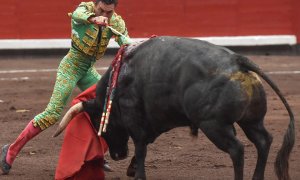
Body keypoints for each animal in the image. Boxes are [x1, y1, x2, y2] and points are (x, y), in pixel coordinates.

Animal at [54, 36, 296, 180]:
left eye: (99, 123)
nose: (117, 155)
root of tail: (237, 61)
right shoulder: (153, 122)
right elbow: (145, 145)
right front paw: (132, 168)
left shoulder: (135, 121)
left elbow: (141, 148)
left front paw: (138, 173)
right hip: (251, 121)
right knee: (264, 140)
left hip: (214, 125)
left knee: (237, 149)